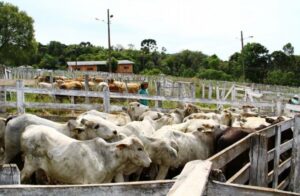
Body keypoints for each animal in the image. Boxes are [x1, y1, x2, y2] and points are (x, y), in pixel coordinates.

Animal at [20, 125, 151, 185]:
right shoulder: (90, 182)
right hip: (28, 166)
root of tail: (30, 127)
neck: (105, 158)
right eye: (139, 148)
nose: (149, 162)